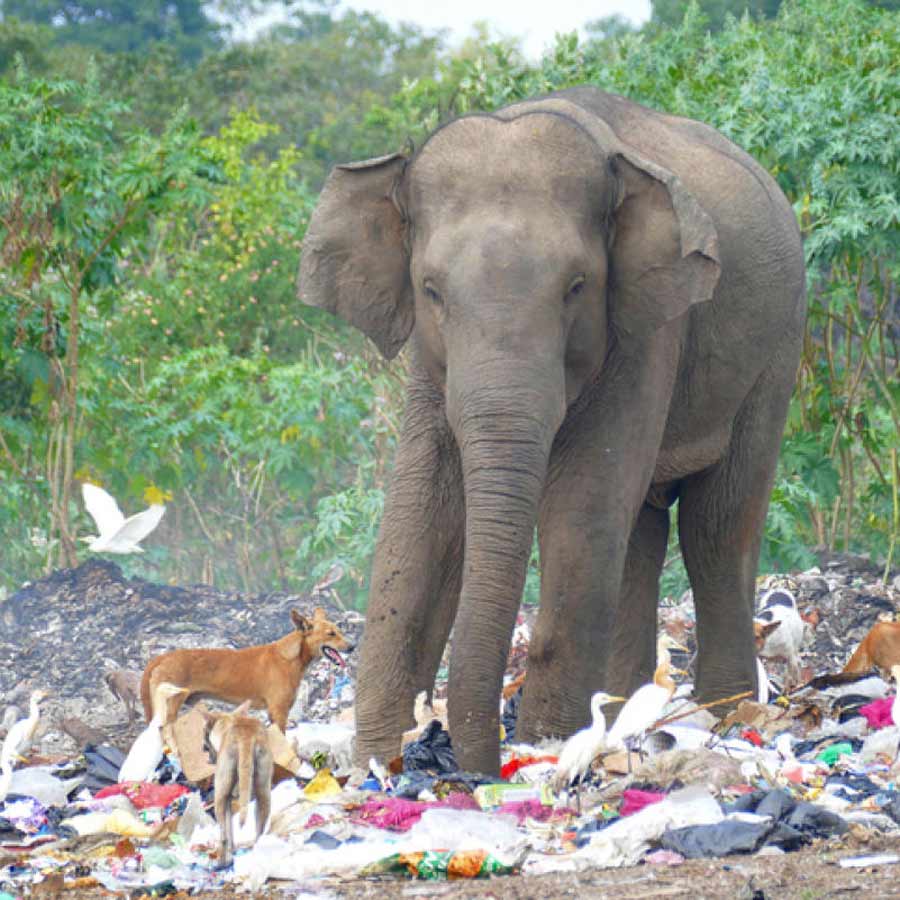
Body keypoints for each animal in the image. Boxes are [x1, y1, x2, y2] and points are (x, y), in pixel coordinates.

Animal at [297, 86, 806, 775]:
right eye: (431, 290)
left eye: (576, 287)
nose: (468, 763)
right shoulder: (431, 365)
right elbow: (424, 505)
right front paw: (380, 756)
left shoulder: (647, 327)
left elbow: (582, 502)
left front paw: (546, 744)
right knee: (640, 530)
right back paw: (625, 711)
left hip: (777, 347)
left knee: (716, 524)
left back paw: (724, 715)